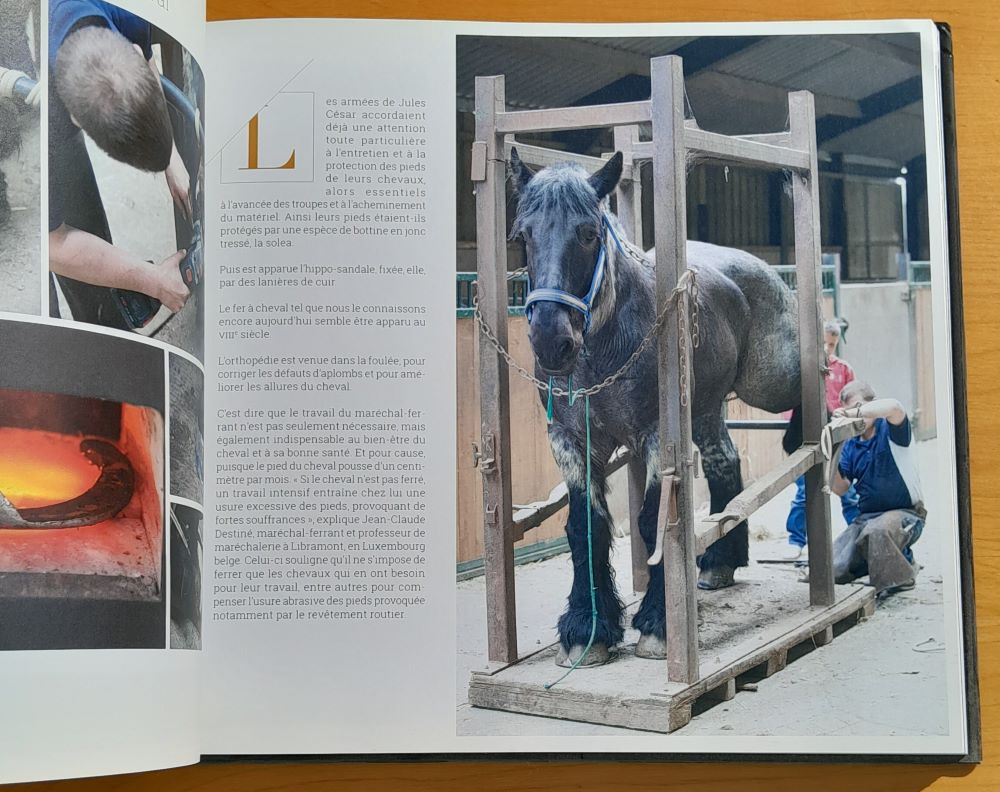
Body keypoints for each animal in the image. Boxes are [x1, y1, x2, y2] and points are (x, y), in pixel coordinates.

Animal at [508, 148, 803, 665]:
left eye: (588, 233)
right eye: (523, 235)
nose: (550, 341)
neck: (602, 350)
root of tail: (755, 266)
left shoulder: (653, 436)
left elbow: (654, 521)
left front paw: (657, 624)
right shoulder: (569, 440)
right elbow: (586, 525)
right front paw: (588, 628)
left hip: (771, 382)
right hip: (705, 411)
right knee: (726, 464)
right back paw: (720, 564)